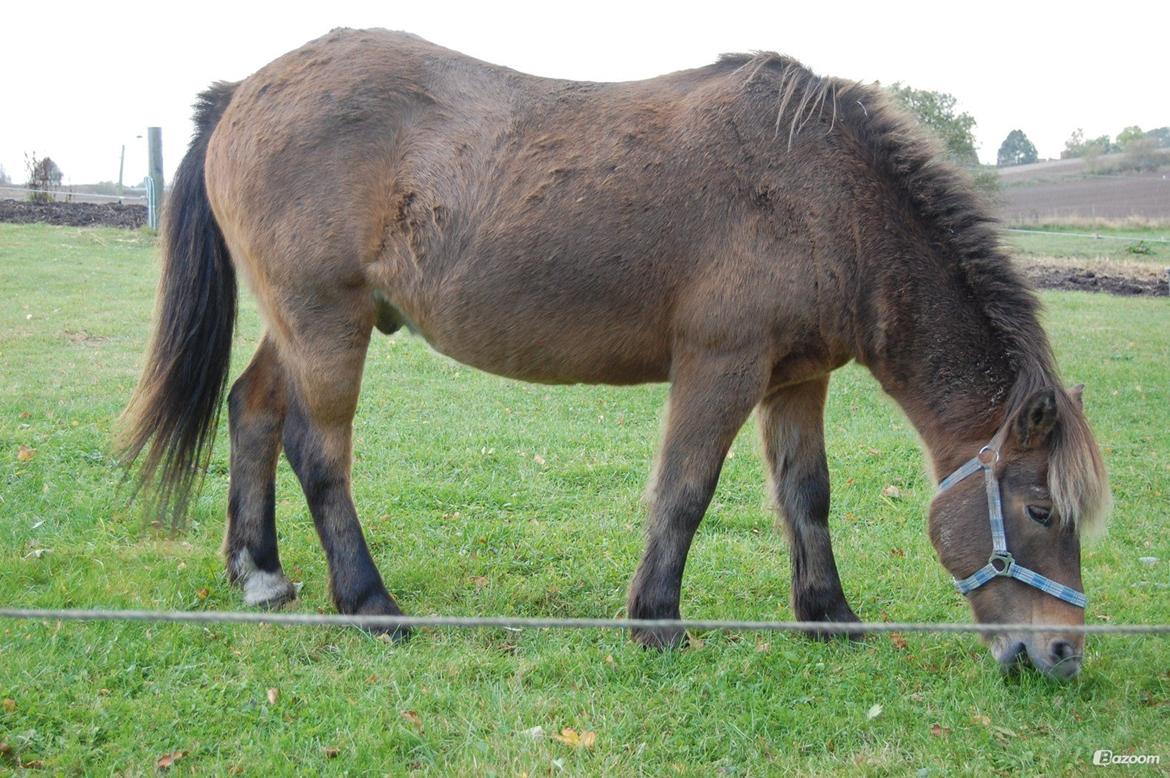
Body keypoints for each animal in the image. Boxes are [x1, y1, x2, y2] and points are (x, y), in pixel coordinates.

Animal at [121, 28, 1113, 673]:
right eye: (1041, 512)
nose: (1061, 652)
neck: (824, 192)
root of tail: (243, 92)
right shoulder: (720, 366)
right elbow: (684, 492)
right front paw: (656, 620)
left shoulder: (796, 380)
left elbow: (807, 497)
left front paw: (828, 616)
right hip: (326, 323)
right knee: (318, 452)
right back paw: (371, 605)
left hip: (305, 322)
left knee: (252, 412)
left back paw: (259, 571)